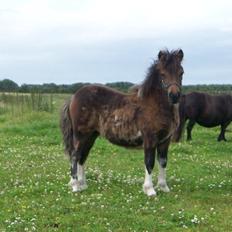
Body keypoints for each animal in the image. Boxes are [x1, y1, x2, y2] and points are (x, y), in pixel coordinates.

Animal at [60, 49, 184, 196]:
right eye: (163, 74)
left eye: (181, 72)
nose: (174, 96)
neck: (155, 105)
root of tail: (73, 97)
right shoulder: (150, 139)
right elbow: (149, 163)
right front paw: (150, 190)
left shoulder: (165, 140)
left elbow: (163, 162)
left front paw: (164, 187)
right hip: (80, 135)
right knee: (75, 156)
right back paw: (75, 186)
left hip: (90, 136)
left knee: (82, 157)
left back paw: (82, 184)